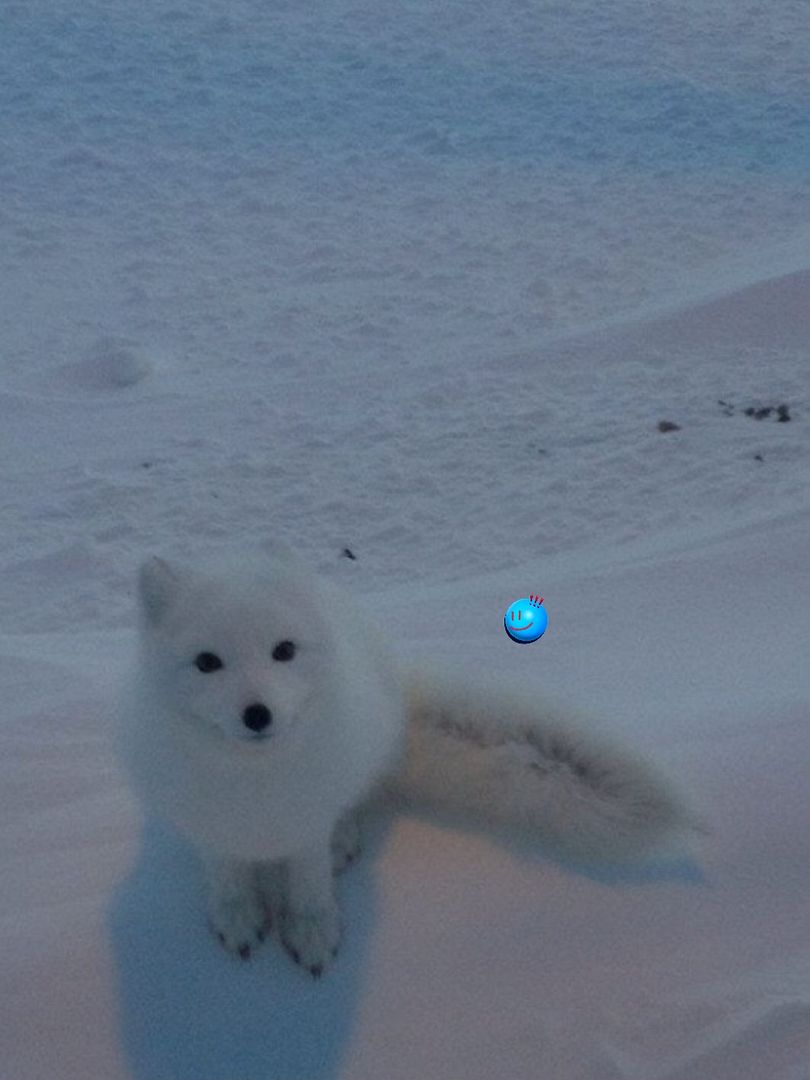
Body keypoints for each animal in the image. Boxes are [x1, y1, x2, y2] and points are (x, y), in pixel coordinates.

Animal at [117, 548, 695, 980]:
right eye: (207, 663)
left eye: (283, 650)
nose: (258, 713)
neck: (257, 785)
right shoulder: (210, 826)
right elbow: (227, 875)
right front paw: (235, 915)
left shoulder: (307, 824)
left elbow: (309, 882)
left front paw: (311, 931)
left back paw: (345, 838)